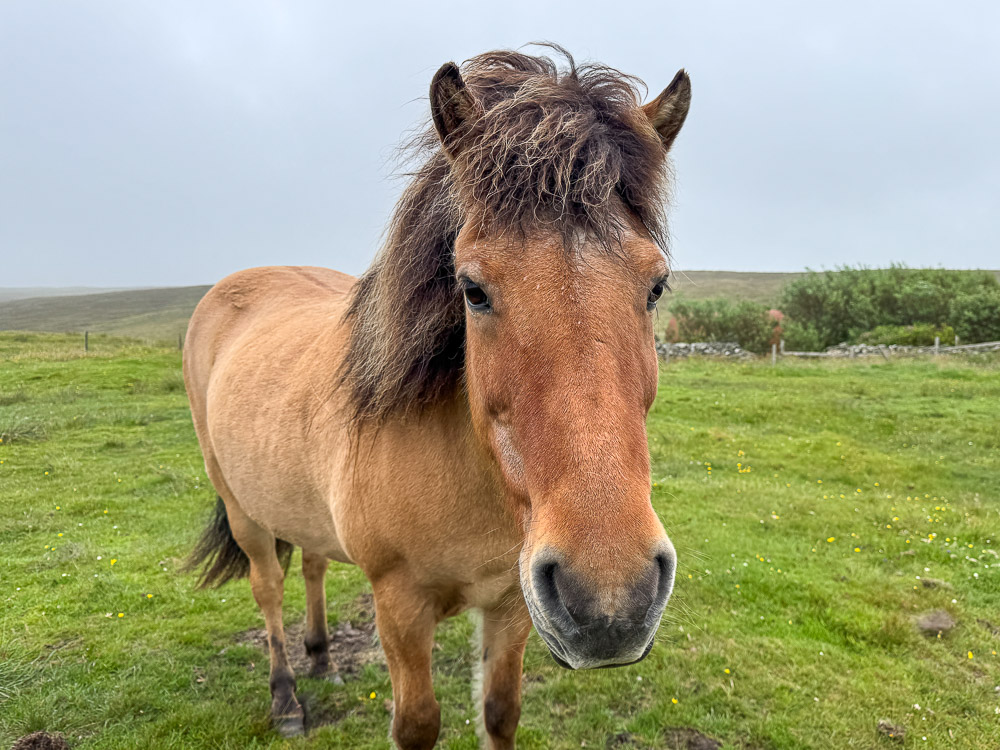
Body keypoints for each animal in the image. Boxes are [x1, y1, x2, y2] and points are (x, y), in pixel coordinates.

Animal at [182, 45, 691, 749]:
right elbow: (417, 723)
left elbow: (500, 711)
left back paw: (321, 658)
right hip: (243, 511)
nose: (612, 598)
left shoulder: (513, 603)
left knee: (311, 564)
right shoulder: (399, 605)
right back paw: (286, 697)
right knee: (269, 588)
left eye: (656, 286)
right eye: (472, 289)